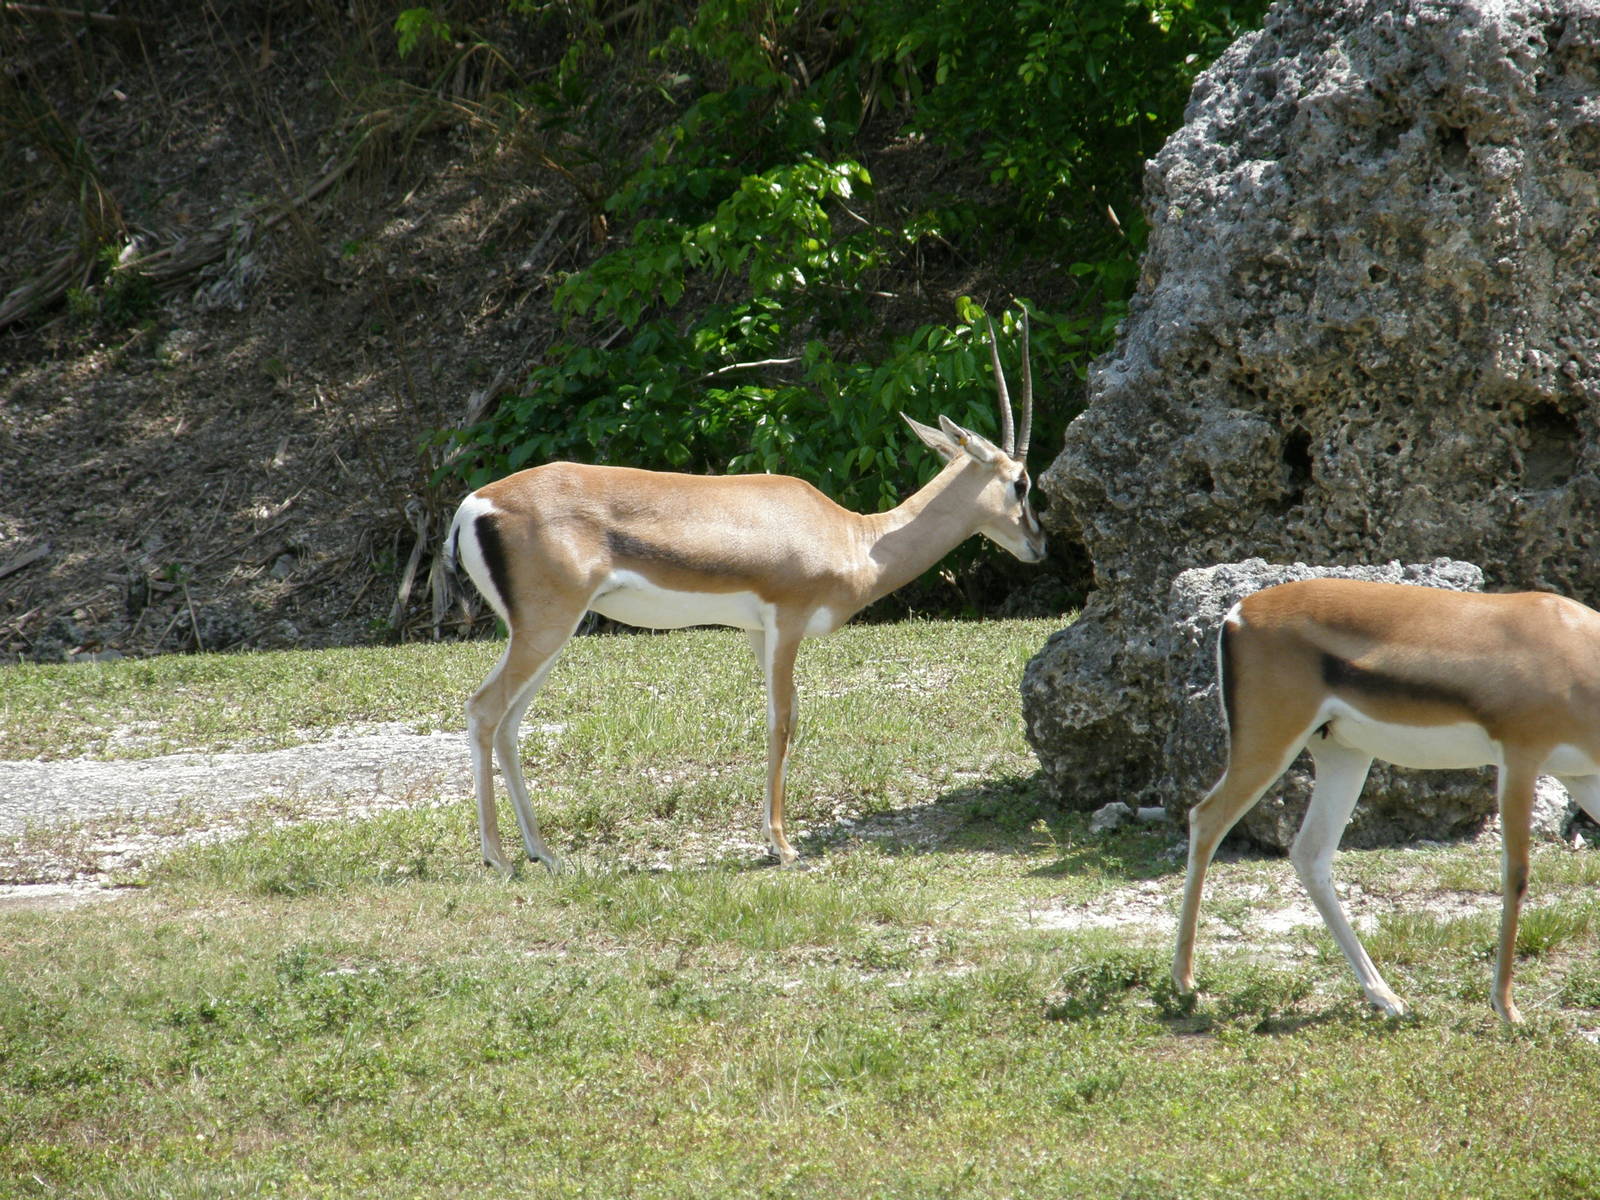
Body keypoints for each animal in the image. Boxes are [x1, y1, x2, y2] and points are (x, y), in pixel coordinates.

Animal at [446, 314, 1045, 874]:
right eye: (1021, 483)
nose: (1039, 544)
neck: (856, 537)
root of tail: (474, 505)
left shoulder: (759, 633)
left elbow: (787, 716)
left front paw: (775, 837)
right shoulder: (788, 623)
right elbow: (781, 721)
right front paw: (783, 846)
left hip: (549, 633)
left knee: (509, 724)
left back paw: (543, 853)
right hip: (546, 629)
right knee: (484, 710)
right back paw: (498, 858)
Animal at [1172, 577, 1600, 1023]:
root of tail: (1239, 611)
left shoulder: (1582, 775)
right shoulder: (1520, 759)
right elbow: (1516, 875)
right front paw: (1507, 1008)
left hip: (1344, 756)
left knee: (1310, 853)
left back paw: (1385, 996)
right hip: (1268, 746)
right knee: (1205, 820)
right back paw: (1185, 982)